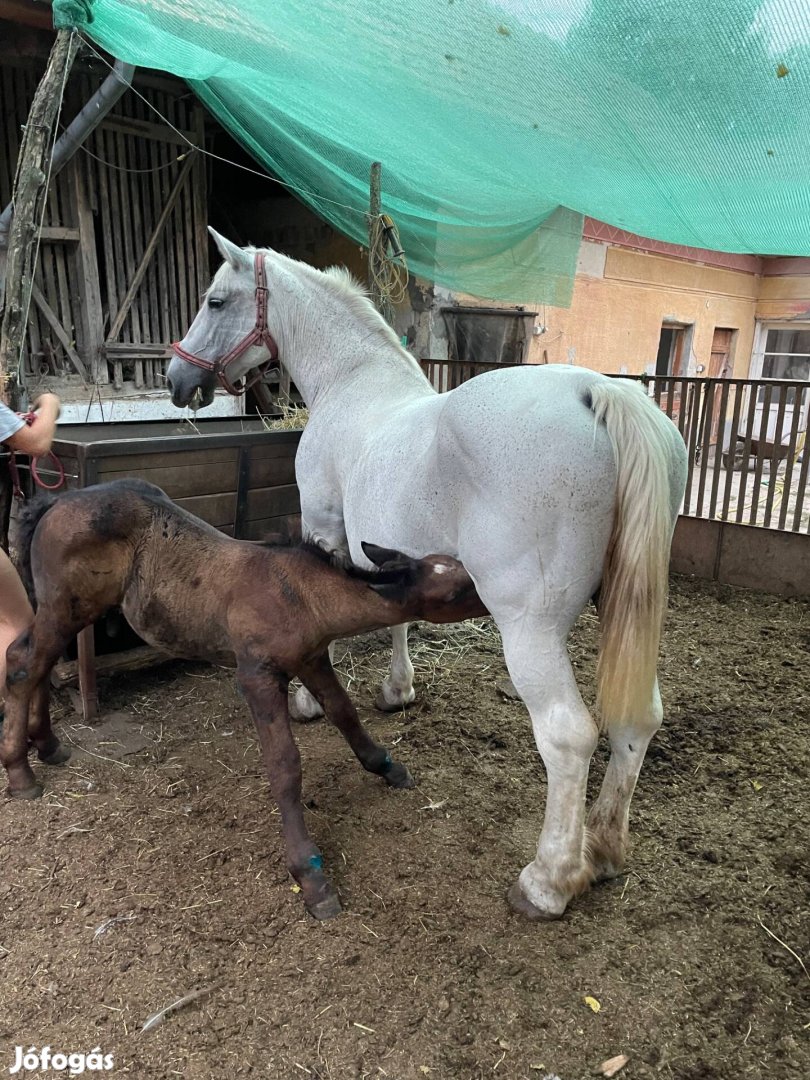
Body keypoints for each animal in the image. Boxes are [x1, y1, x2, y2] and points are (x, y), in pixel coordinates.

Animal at [1, 481, 481, 920]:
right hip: (66, 606)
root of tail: (54, 500)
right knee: (23, 663)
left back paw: (48, 745)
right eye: (457, 591)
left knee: (37, 664)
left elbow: (344, 712)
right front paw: (311, 874)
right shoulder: (256, 676)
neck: (303, 594)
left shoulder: (311, 658)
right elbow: (285, 764)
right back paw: (21, 773)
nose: (491, 593)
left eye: (460, 569)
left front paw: (386, 766)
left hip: (62, 609)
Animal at [168, 234, 686, 920]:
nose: (177, 379)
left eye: (215, 300)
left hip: (530, 628)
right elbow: (396, 616)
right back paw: (603, 850)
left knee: (568, 736)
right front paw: (398, 689)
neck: (352, 381)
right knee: (638, 720)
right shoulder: (392, 550)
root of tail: (599, 394)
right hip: (625, 613)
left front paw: (308, 700)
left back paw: (548, 881)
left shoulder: (325, 527)